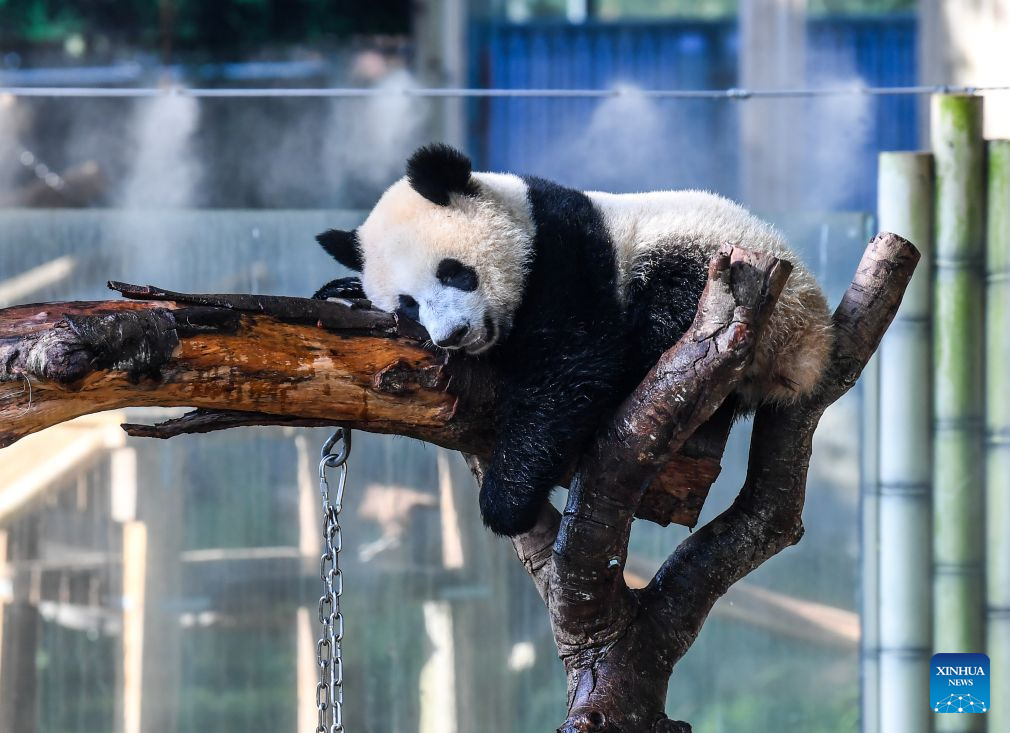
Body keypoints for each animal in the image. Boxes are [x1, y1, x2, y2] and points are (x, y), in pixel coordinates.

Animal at [314, 144, 833, 537]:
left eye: (454, 272)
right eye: (408, 305)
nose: (454, 335)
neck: (525, 218)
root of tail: (813, 347)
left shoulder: (570, 256)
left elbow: (571, 367)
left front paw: (505, 504)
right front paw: (342, 288)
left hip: (729, 274)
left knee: (672, 307)